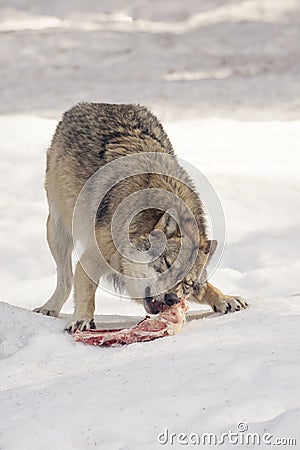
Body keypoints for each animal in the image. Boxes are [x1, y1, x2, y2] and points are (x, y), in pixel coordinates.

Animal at [34, 103, 247, 332]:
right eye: (167, 263)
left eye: (186, 283)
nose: (172, 298)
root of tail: (96, 104)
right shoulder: (92, 258)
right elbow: (87, 292)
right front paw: (82, 319)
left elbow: (206, 286)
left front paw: (226, 298)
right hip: (58, 232)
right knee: (65, 279)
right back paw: (49, 308)